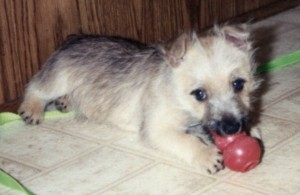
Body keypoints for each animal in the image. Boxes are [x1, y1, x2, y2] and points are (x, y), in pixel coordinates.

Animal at [18, 24, 260, 174]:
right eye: (199, 94)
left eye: (238, 84)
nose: (232, 128)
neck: (177, 95)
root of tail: (74, 38)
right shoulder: (158, 129)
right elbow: (186, 140)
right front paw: (205, 155)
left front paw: (253, 131)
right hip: (57, 78)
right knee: (36, 87)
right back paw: (32, 109)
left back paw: (65, 101)